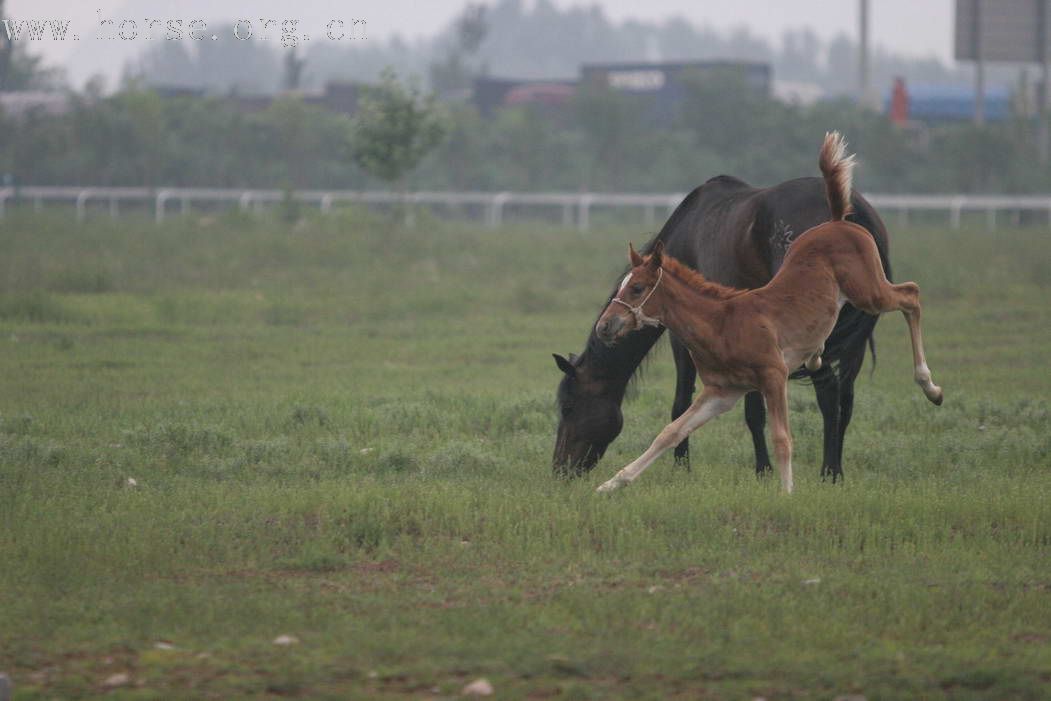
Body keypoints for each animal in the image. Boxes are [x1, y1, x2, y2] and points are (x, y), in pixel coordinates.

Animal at [592, 131, 945, 493]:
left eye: (636, 288)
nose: (604, 326)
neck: (721, 323)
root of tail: (837, 219)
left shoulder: (773, 376)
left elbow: (781, 438)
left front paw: (786, 492)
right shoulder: (722, 392)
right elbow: (670, 431)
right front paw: (612, 484)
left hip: (869, 292)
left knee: (910, 295)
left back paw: (930, 388)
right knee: (843, 383)